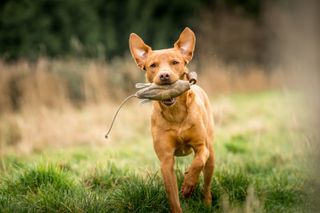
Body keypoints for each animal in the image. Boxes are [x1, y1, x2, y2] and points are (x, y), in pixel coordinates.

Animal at [129, 27, 214, 212]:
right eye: (153, 65)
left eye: (175, 62)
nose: (164, 75)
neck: (175, 113)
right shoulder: (166, 160)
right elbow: (173, 198)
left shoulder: (201, 147)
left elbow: (198, 162)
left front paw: (188, 183)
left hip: (211, 156)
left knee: (206, 183)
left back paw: (207, 202)